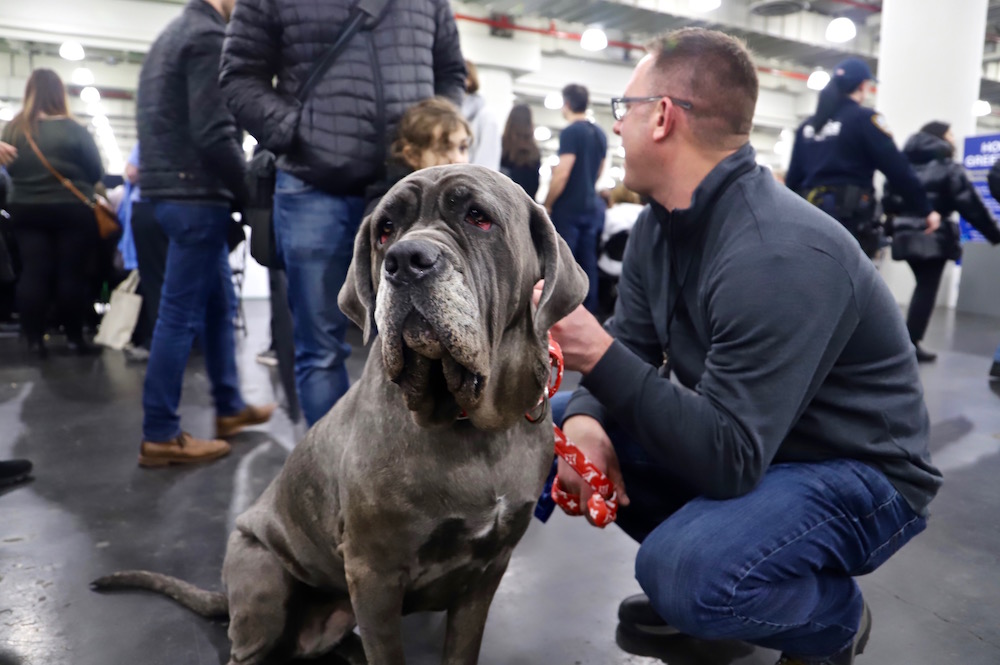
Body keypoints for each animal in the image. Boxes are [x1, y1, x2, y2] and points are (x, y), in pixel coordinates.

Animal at [94, 162, 584, 664]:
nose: (406, 260)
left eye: (478, 217)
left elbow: (461, 648)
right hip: (262, 577)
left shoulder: (487, 571)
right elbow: (387, 652)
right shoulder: (374, 574)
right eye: (385, 230)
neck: (468, 422)